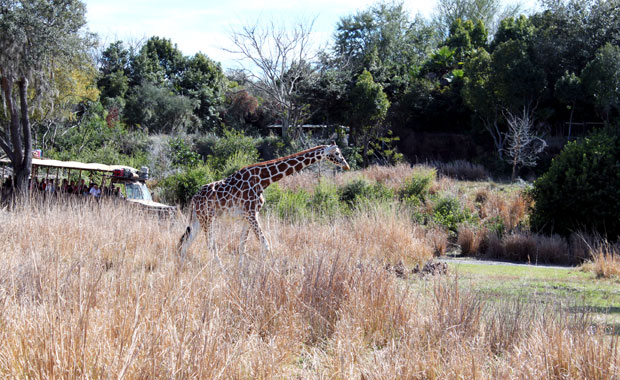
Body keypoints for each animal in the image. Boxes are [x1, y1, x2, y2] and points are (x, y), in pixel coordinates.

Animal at [179, 144, 352, 256]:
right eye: (337, 153)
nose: (347, 165)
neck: (264, 180)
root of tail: (194, 199)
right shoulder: (250, 213)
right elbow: (266, 246)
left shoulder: (248, 215)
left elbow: (242, 247)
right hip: (208, 218)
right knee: (210, 246)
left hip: (199, 219)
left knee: (184, 244)